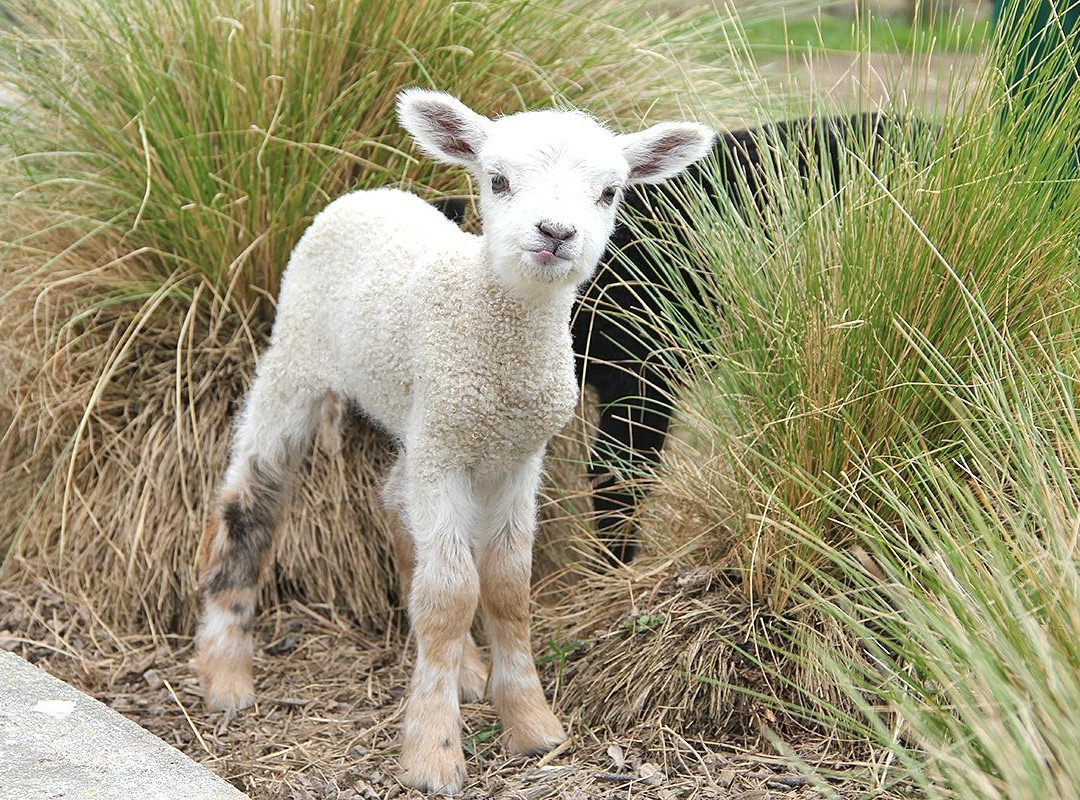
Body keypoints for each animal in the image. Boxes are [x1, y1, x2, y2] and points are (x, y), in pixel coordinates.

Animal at [194, 89, 717, 794]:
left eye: (609, 192)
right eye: (497, 180)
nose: (556, 234)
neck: (490, 329)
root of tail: (371, 193)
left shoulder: (517, 453)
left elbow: (504, 585)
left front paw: (531, 723)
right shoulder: (446, 448)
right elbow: (449, 596)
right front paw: (433, 755)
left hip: (418, 419)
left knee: (394, 503)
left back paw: (464, 665)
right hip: (298, 358)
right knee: (250, 500)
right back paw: (225, 674)